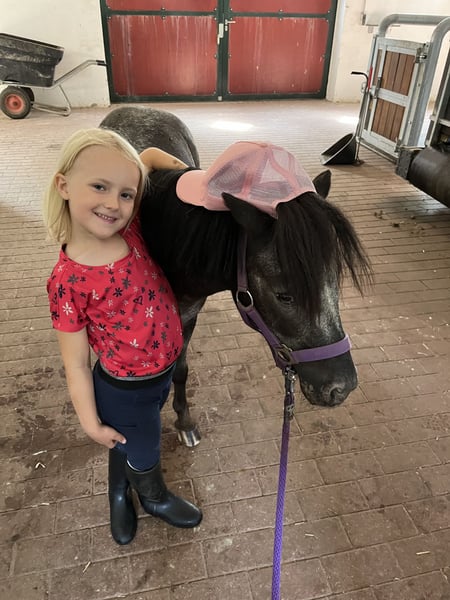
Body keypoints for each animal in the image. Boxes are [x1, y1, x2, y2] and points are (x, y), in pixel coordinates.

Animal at [100, 106, 372, 446]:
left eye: (335, 281)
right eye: (284, 295)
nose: (342, 387)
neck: (159, 237)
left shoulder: (188, 316)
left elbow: (180, 370)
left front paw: (184, 420)